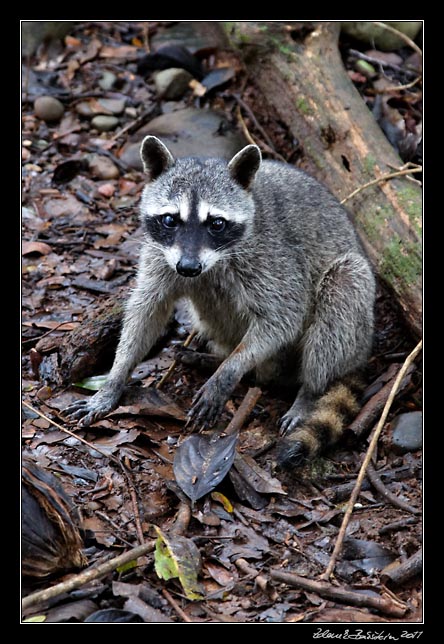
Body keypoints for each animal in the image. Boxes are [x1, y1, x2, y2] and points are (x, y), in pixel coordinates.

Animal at [66, 136, 374, 468]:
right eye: (170, 220)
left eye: (216, 223)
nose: (188, 267)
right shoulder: (160, 255)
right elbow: (147, 309)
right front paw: (115, 377)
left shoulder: (272, 256)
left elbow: (283, 317)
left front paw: (229, 370)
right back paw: (217, 356)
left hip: (354, 318)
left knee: (343, 287)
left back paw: (308, 389)